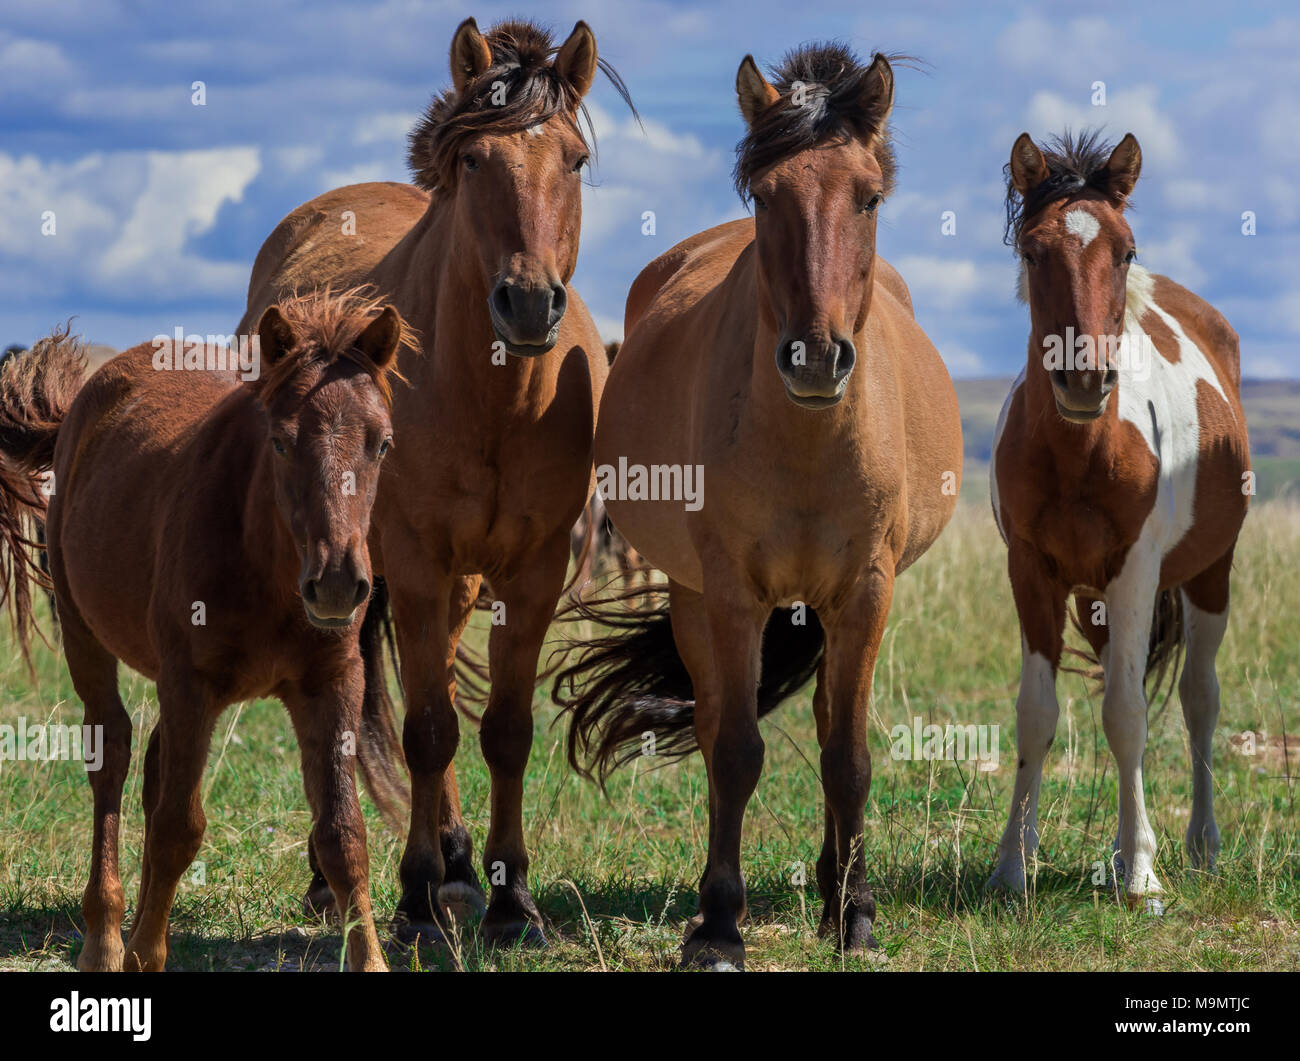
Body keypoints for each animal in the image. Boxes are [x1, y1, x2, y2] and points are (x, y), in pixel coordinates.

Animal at [0, 291, 407, 971]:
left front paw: (370, 960)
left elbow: (343, 836)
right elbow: (177, 828)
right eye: (281, 442)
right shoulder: (191, 684)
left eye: (381, 444)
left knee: (154, 767)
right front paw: (142, 953)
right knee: (112, 756)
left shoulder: (333, 683)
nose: (336, 584)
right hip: (87, 636)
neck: (266, 565)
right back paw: (105, 938)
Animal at [237, 17, 634, 945]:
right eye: (476, 161)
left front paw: (510, 895)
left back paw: (457, 860)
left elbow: (504, 731)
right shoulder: (412, 564)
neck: (496, 400)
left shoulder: (531, 572)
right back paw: (341, 877)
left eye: (572, 159)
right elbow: (424, 732)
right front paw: (415, 896)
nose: (527, 303)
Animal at [552, 44, 963, 968]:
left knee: (826, 721)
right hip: (695, 597)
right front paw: (718, 923)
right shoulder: (732, 593)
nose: (815, 357)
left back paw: (832, 886)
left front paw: (855, 914)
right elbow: (736, 752)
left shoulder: (867, 591)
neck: (807, 442)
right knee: (715, 728)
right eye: (767, 195)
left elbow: (848, 754)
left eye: (868, 196)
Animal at [987, 130, 1250, 909]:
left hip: (1208, 576)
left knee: (1197, 700)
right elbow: (1038, 715)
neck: (1081, 453)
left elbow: (1130, 717)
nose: (1084, 378)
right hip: (1097, 601)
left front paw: (1141, 877)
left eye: (1125, 250)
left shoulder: (1137, 571)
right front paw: (1013, 864)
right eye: (1033, 251)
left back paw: (1198, 844)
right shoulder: (1033, 572)